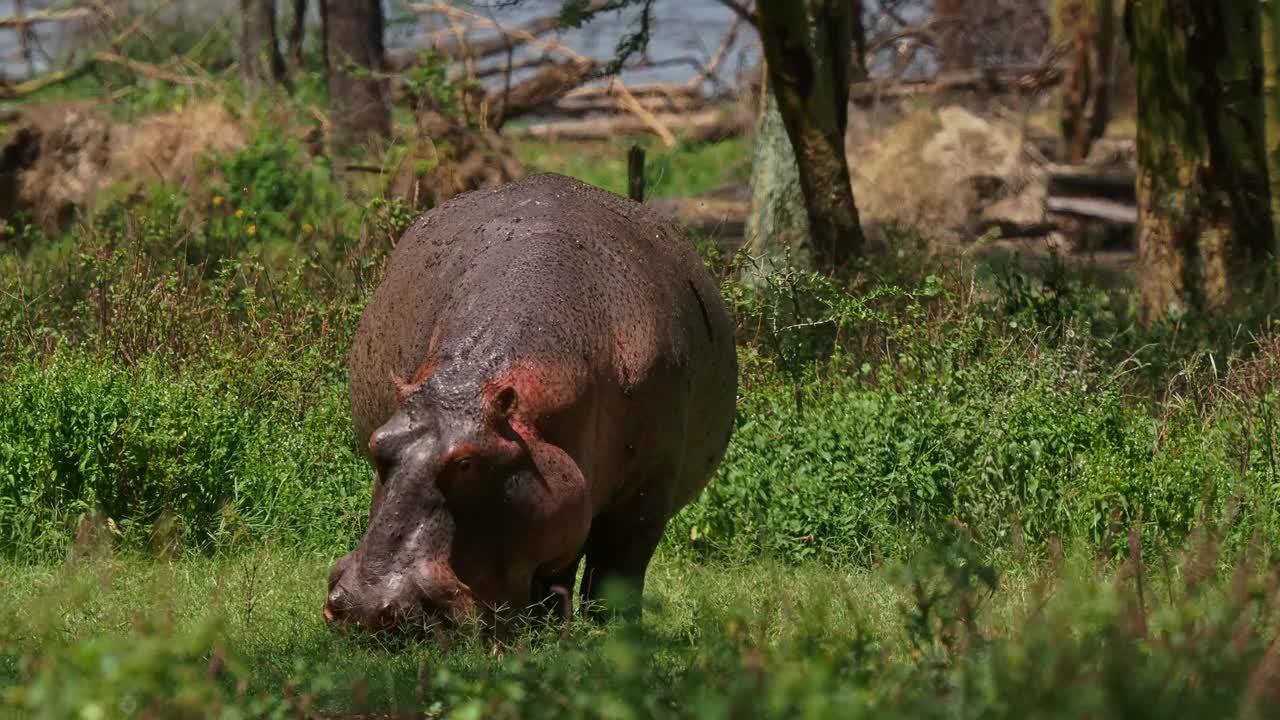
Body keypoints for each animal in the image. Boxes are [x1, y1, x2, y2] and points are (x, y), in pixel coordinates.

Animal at [325, 170, 737, 630]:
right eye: (377, 444)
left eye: (466, 463)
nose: (365, 606)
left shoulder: (645, 496)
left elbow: (616, 574)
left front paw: (613, 634)